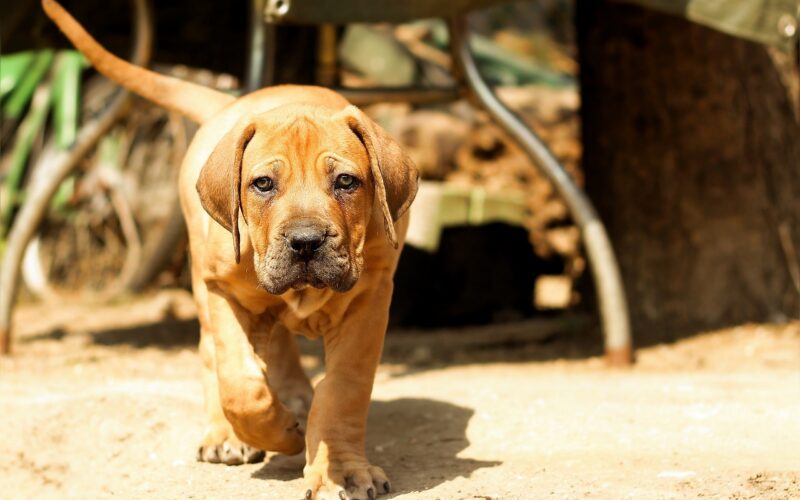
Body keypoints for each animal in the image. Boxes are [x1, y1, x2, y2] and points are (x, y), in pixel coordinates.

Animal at [43, 1, 418, 498]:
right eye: (262, 184)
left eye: (345, 182)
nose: (305, 242)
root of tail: (226, 104)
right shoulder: (223, 291)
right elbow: (240, 384)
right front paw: (278, 431)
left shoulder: (369, 300)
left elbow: (342, 391)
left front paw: (340, 469)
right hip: (204, 284)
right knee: (213, 356)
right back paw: (230, 433)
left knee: (280, 346)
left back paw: (295, 397)